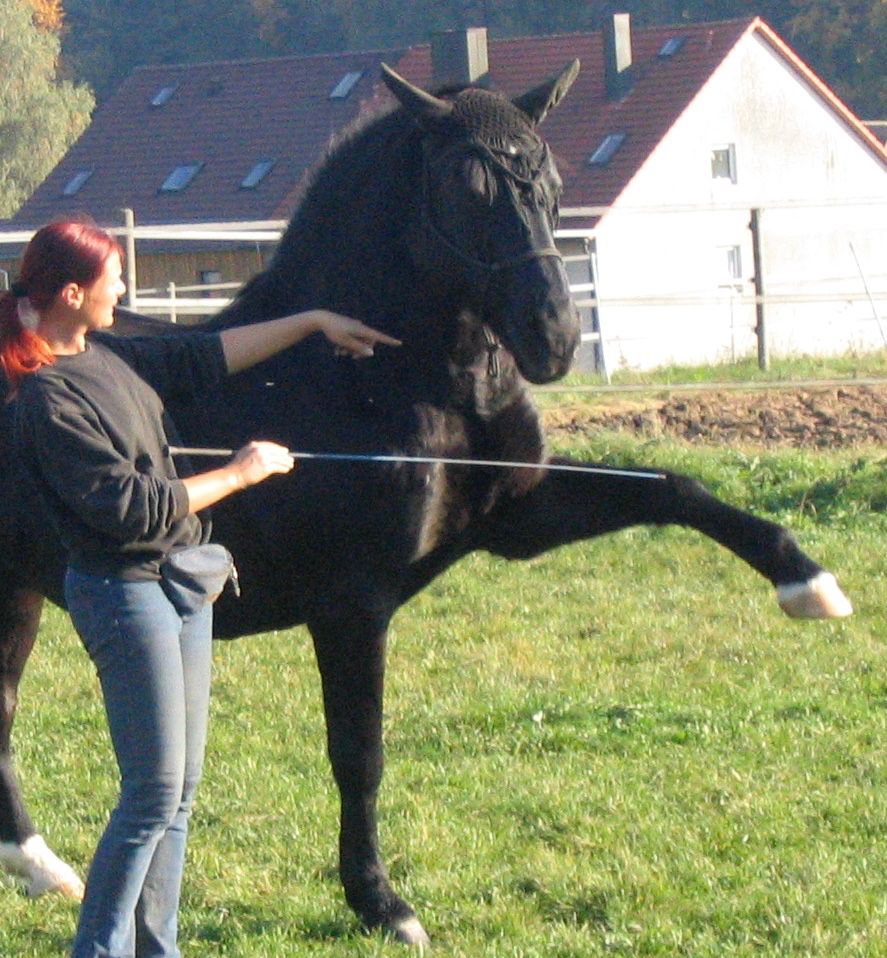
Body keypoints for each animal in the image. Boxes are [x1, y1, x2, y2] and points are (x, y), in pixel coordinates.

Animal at [0, 63, 852, 948]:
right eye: (465, 189)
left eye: (550, 183)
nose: (552, 337)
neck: (380, 381)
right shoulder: (352, 604)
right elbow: (358, 754)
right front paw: (381, 903)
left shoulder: (520, 516)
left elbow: (671, 489)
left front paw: (807, 582)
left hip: (18, 590)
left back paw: (42, 867)